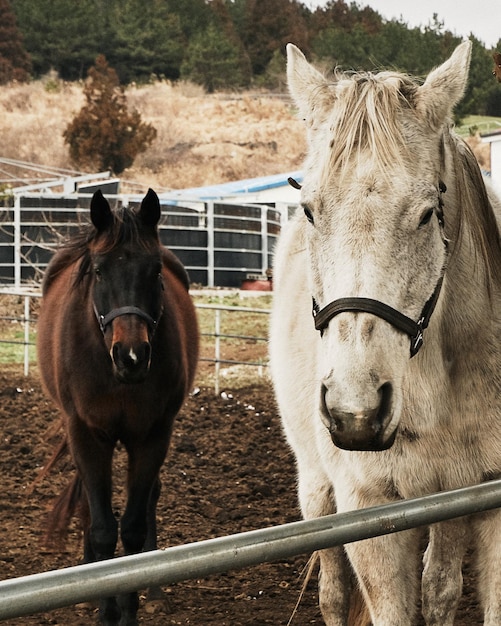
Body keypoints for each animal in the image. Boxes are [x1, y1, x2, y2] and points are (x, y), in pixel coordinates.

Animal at [37, 189, 197, 624]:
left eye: (155, 271)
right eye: (99, 270)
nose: (131, 355)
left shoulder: (153, 436)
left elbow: (132, 529)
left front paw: (129, 608)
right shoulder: (88, 435)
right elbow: (103, 529)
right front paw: (104, 606)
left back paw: (154, 589)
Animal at [272, 41, 500, 620]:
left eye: (426, 213)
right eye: (310, 211)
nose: (355, 413)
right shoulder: (369, 509)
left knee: (440, 587)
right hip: (317, 489)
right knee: (333, 593)